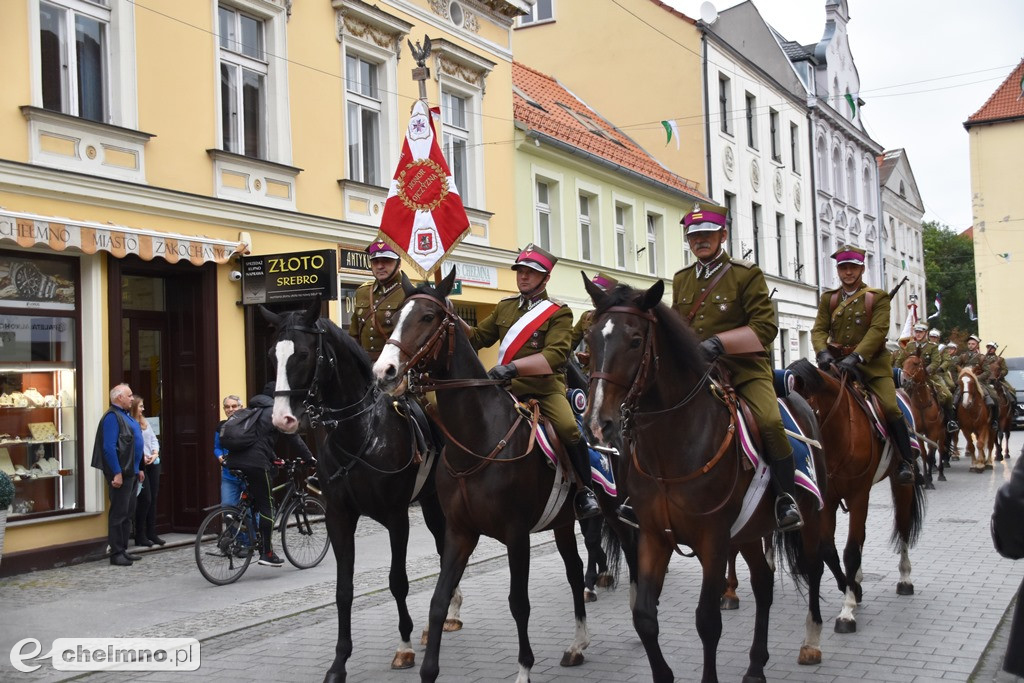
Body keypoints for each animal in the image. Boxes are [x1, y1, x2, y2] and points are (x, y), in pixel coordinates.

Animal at [262, 301, 462, 683]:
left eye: (304, 354)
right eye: (271, 356)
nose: (281, 420)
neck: (362, 432)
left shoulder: (398, 518)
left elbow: (398, 581)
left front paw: (404, 646)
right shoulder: (339, 517)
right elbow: (343, 591)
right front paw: (338, 663)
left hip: (433, 505)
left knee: (445, 549)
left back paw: (450, 615)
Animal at [370, 270, 593, 679]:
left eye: (428, 317)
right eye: (395, 319)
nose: (384, 372)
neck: (478, 438)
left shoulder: (517, 536)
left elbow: (519, 602)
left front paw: (524, 669)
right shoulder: (460, 532)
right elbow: (439, 601)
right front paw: (428, 670)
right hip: (563, 521)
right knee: (574, 570)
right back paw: (577, 644)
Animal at [581, 280, 827, 679]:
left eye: (635, 340)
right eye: (589, 340)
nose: (597, 423)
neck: (672, 447)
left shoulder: (712, 539)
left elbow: (707, 621)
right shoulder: (654, 536)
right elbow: (644, 617)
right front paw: (663, 674)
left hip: (811, 515)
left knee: (814, 566)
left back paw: (812, 641)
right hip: (748, 531)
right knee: (763, 585)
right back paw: (755, 665)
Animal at [782, 360, 929, 634]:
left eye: (798, 414)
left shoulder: (859, 495)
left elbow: (850, 551)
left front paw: (847, 612)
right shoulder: (827, 502)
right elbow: (829, 550)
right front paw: (852, 589)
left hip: (900, 483)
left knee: (903, 526)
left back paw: (905, 578)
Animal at [901, 352, 946, 485]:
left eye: (916, 363)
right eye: (903, 363)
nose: (904, 380)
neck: (922, 404)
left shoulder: (933, 431)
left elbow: (931, 454)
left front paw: (930, 480)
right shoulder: (918, 432)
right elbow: (924, 454)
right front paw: (926, 478)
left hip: (942, 432)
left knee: (940, 449)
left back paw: (941, 474)